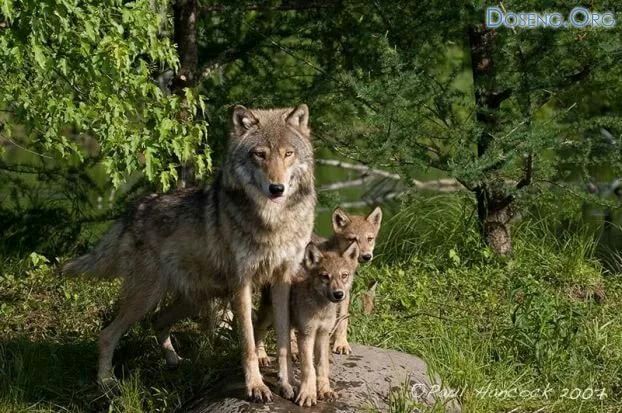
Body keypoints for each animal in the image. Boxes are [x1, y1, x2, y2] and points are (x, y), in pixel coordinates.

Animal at [64, 104, 316, 402]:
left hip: (191, 299)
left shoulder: (281, 280)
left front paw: (288, 385)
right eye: (260, 154)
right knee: (107, 335)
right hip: (147, 298)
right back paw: (106, 383)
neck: (273, 221)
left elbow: (283, 339)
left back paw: (174, 361)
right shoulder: (241, 284)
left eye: (288, 153)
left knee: (158, 320)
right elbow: (248, 342)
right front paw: (256, 387)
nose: (276, 188)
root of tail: (134, 209)